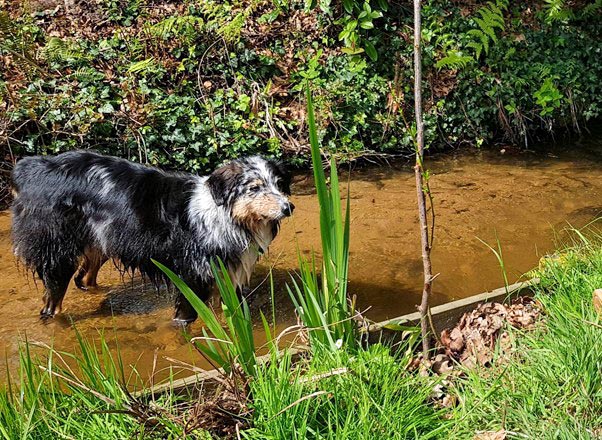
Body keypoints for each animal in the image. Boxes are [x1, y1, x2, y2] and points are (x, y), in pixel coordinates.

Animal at [8, 151, 290, 324]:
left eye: (279, 184)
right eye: (255, 188)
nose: (289, 207)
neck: (224, 215)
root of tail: (31, 168)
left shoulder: (229, 277)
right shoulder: (192, 278)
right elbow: (186, 319)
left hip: (101, 243)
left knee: (84, 278)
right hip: (57, 256)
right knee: (51, 301)